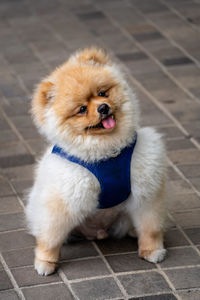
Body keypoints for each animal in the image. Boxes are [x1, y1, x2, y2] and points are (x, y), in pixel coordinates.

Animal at [26, 48, 167, 276]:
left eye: (102, 93)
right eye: (82, 109)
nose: (103, 108)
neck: (106, 153)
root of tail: (99, 232)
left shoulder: (145, 193)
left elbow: (150, 228)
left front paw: (152, 251)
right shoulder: (63, 201)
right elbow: (50, 237)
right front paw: (45, 262)